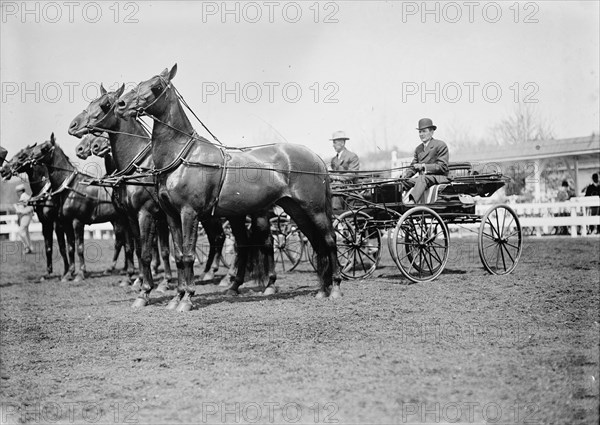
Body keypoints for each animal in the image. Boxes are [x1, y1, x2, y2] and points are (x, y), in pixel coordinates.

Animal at [0, 147, 69, 280]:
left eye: (22, 156)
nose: (3, 170)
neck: (47, 193)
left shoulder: (57, 222)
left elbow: (62, 246)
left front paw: (66, 271)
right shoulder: (45, 222)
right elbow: (48, 247)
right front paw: (48, 273)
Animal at [13, 134, 136, 282]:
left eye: (44, 148)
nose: (8, 168)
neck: (69, 187)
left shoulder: (76, 222)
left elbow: (79, 247)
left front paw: (80, 273)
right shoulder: (65, 223)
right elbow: (70, 247)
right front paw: (68, 274)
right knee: (124, 242)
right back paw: (122, 269)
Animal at [116, 64, 342, 310]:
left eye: (156, 86)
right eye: (141, 82)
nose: (121, 104)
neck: (182, 157)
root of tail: (317, 158)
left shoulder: (189, 213)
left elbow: (188, 254)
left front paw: (187, 299)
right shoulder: (171, 216)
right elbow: (179, 256)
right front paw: (176, 298)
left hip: (315, 210)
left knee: (329, 241)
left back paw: (335, 288)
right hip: (296, 210)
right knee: (316, 243)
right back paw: (322, 290)